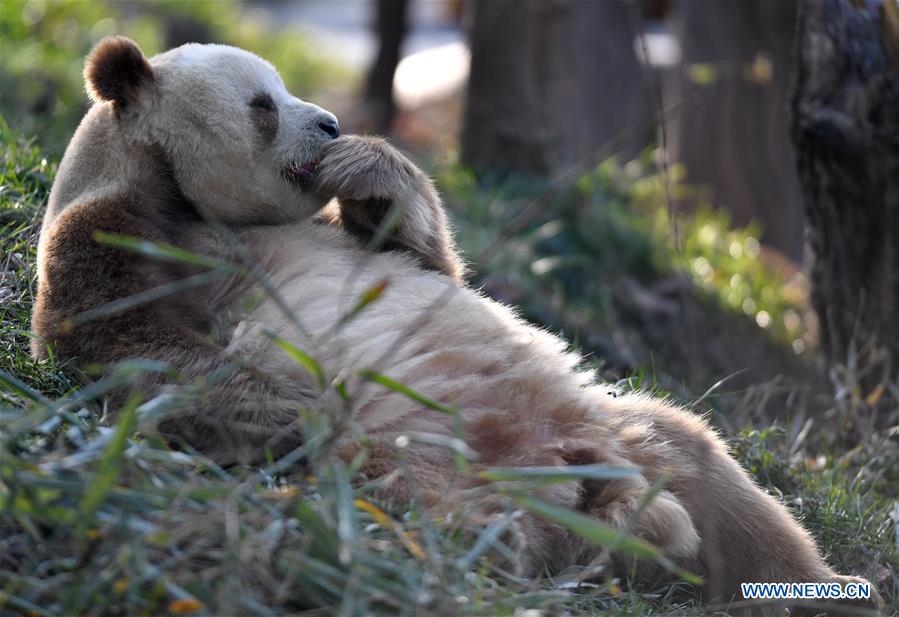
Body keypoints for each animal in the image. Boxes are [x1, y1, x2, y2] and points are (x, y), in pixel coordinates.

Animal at [31, 37, 884, 612]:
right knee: (436, 510)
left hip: (622, 427)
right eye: (262, 104)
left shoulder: (346, 234)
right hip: (423, 469)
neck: (185, 193)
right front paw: (284, 401)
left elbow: (427, 259)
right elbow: (140, 351)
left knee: (716, 475)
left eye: (287, 89)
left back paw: (831, 587)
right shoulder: (117, 235)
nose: (331, 125)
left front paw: (366, 166)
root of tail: (592, 493)